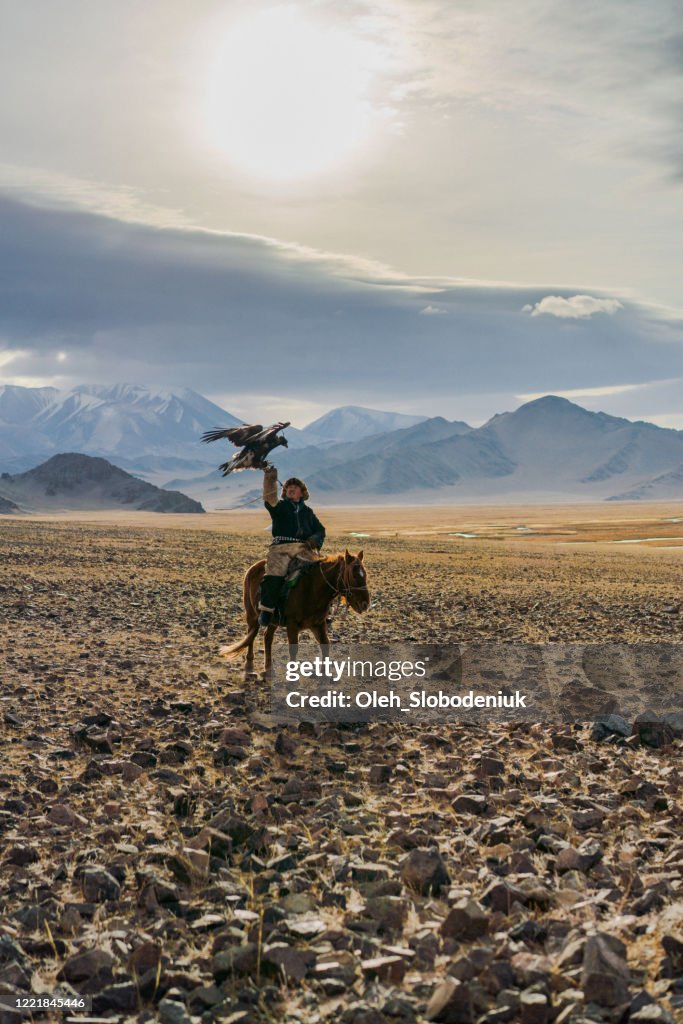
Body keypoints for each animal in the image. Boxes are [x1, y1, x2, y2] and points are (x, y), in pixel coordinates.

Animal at [219, 549, 370, 676]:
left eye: (365, 574)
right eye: (354, 575)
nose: (365, 604)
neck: (313, 590)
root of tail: (253, 568)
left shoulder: (318, 624)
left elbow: (325, 645)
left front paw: (323, 674)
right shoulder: (292, 625)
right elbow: (293, 650)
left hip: (273, 620)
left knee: (267, 637)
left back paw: (269, 667)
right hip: (252, 615)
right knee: (251, 634)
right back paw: (250, 663)